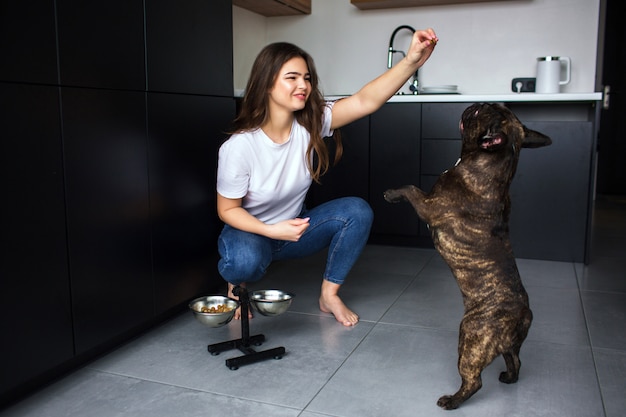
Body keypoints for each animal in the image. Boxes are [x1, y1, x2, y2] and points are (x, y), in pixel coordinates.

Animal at [382, 102, 548, 408]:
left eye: (481, 113)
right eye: (497, 107)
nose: (474, 103)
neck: (492, 163)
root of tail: (524, 314)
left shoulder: (430, 206)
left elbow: (411, 188)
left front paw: (392, 193)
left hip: (471, 335)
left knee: (474, 380)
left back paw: (452, 400)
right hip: (506, 345)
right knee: (515, 359)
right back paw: (509, 378)